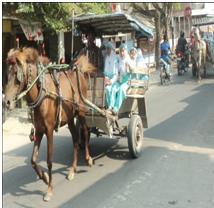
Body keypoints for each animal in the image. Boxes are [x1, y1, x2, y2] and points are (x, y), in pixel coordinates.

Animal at [4, 47, 95, 202]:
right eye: (7, 73)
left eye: (17, 75)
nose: (6, 102)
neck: (42, 95)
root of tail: (78, 70)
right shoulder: (39, 131)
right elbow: (33, 160)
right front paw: (45, 177)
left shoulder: (49, 130)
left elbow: (49, 161)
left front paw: (49, 189)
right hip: (70, 119)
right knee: (75, 140)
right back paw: (72, 170)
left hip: (82, 112)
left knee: (84, 132)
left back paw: (88, 159)